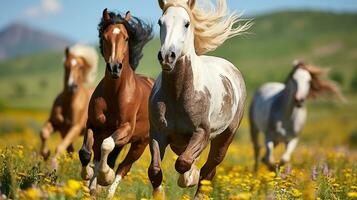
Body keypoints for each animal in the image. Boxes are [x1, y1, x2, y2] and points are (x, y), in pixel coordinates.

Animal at [78, 9, 154, 198]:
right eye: (105, 37)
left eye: (126, 38)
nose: (114, 67)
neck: (114, 94)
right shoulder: (93, 125)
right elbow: (85, 152)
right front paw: (88, 174)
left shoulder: (126, 129)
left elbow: (107, 145)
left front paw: (105, 176)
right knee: (100, 157)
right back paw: (93, 188)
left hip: (140, 143)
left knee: (123, 167)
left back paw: (108, 191)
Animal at [146, 0, 249, 198]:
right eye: (160, 22)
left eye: (186, 23)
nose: (167, 56)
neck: (178, 95)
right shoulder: (157, 133)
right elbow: (155, 171)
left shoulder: (202, 132)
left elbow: (183, 163)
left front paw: (188, 179)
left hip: (225, 137)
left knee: (209, 171)